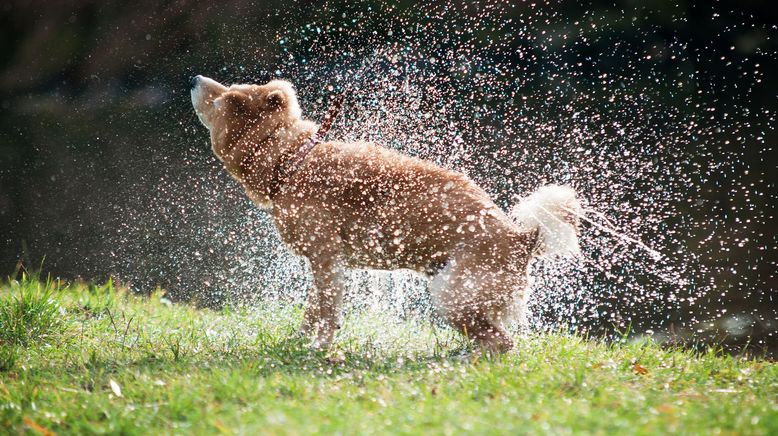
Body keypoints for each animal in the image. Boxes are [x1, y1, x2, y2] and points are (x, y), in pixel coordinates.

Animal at [191, 75, 580, 352]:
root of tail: (522, 239)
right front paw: (299, 341)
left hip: (451, 295)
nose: (194, 78)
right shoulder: (327, 265)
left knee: (502, 344)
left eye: (228, 98)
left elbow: (326, 312)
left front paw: (318, 348)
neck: (292, 161)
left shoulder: (326, 259)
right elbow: (313, 310)